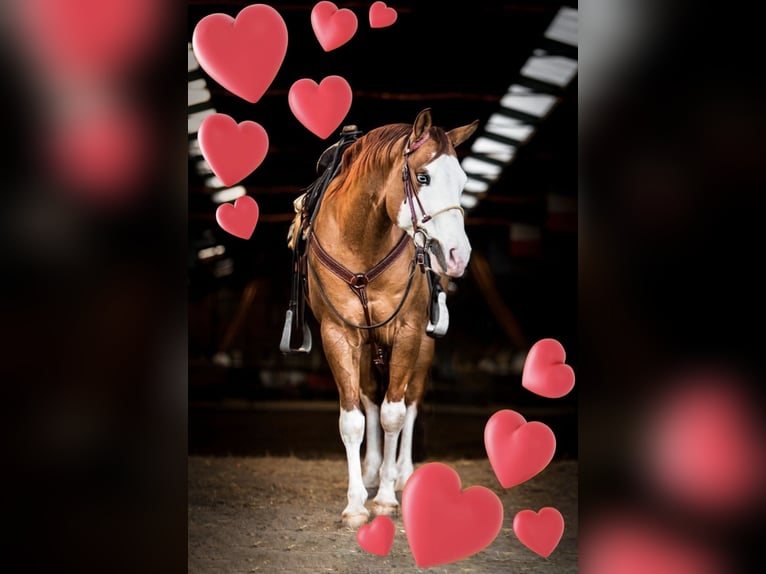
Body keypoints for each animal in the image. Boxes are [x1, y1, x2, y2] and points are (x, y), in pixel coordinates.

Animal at [288, 108, 478, 528]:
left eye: (462, 181)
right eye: (422, 177)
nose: (457, 255)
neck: (363, 240)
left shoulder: (408, 332)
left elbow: (395, 414)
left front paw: (387, 499)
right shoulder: (338, 335)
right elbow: (354, 418)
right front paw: (357, 504)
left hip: (421, 347)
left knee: (410, 401)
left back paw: (402, 475)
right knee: (370, 399)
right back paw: (374, 469)